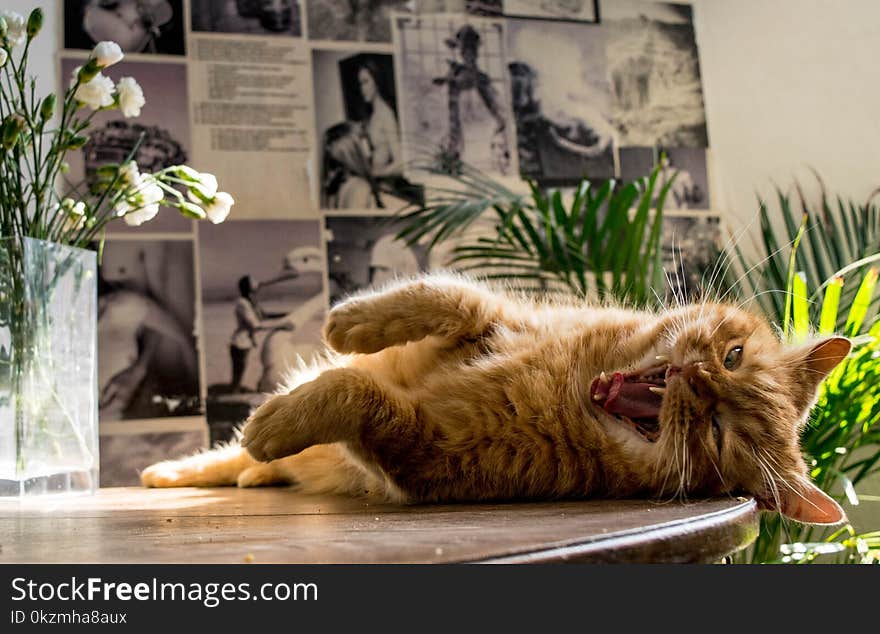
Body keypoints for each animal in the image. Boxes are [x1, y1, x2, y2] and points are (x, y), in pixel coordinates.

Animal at [144, 272, 852, 524]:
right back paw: (172, 473)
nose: (699, 381)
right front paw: (350, 321)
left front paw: (283, 417)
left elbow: (358, 393)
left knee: (248, 455)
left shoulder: (421, 456)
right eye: (732, 358)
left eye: (720, 431)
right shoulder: (495, 315)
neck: (568, 385)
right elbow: (442, 295)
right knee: (222, 460)